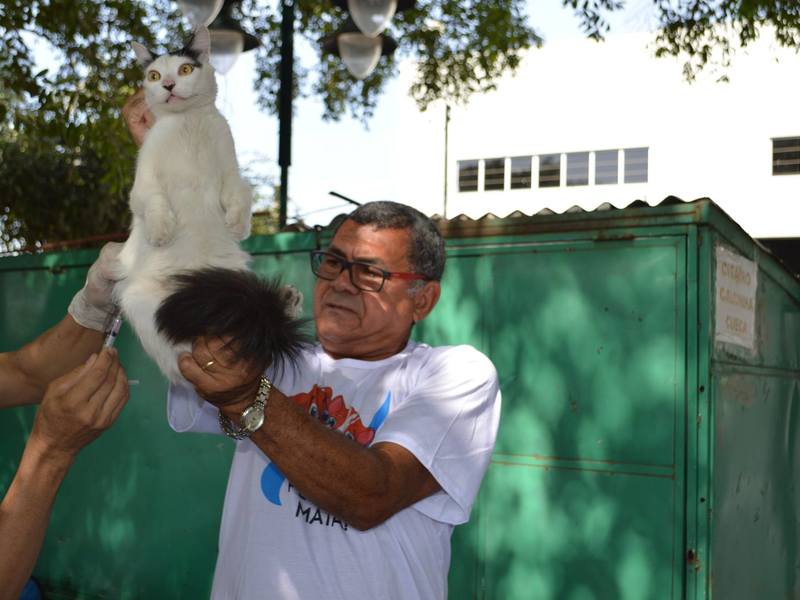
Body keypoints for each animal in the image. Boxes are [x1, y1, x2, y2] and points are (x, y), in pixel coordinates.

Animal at [114, 28, 258, 382]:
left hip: (238, 281)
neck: (188, 123)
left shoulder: (231, 170)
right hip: (137, 298)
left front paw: (238, 224)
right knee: (176, 357)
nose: (167, 85)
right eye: (153, 75)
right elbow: (154, 201)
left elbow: (241, 192)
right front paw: (161, 232)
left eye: (184, 69)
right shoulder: (143, 183)